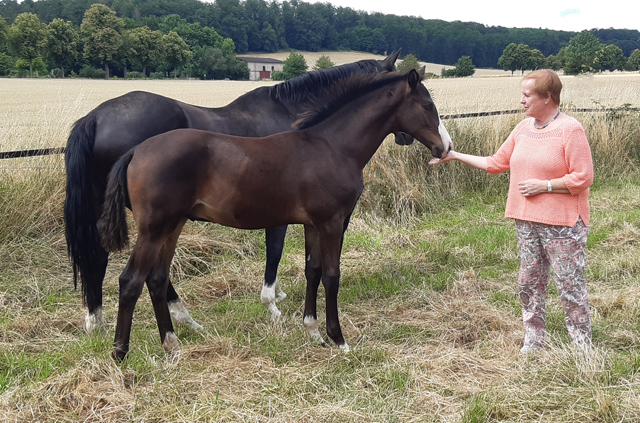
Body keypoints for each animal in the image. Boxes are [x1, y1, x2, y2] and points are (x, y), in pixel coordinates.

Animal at [66, 50, 404, 334]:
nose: (405, 138)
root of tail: (94, 118)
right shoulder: (283, 214)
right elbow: (275, 252)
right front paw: (272, 303)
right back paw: (180, 317)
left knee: (100, 257)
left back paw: (99, 320)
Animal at [97, 69, 452, 362]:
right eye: (427, 106)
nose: (446, 147)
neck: (332, 147)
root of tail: (136, 151)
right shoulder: (332, 222)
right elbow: (332, 275)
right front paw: (338, 338)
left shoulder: (312, 224)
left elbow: (313, 271)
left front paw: (313, 331)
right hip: (154, 228)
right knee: (131, 281)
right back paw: (120, 355)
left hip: (173, 226)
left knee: (156, 279)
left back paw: (172, 346)